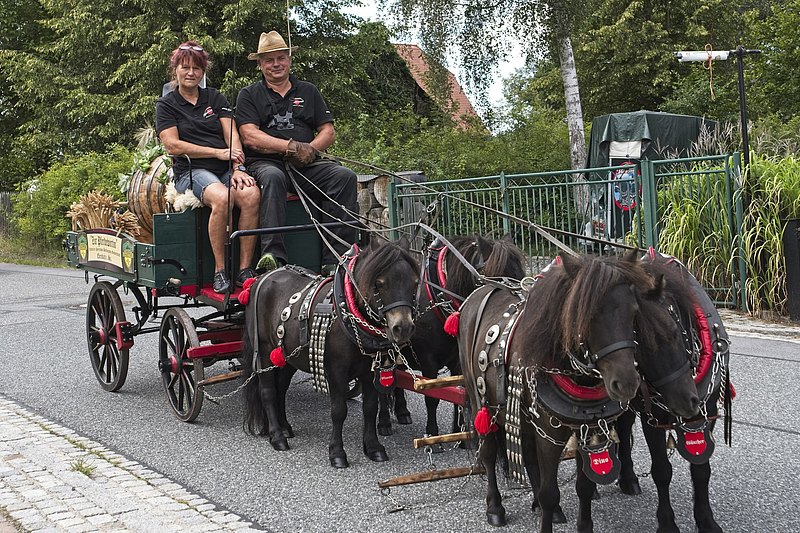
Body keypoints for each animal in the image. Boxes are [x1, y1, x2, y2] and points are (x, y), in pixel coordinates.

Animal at [241, 236, 420, 468]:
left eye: (414, 282)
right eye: (379, 283)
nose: (403, 327)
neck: (349, 312)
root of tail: (260, 278)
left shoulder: (370, 371)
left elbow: (370, 408)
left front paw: (373, 448)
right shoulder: (336, 370)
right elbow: (338, 411)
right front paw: (337, 453)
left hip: (288, 356)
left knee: (281, 388)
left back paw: (285, 427)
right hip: (263, 351)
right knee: (268, 392)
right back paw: (277, 436)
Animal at [377, 234, 526, 438]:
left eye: (521, 275)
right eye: (496, 277)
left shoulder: (458, 361)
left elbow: (460, 395)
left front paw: (459, 433)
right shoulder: (428, 361)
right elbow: (433, 398)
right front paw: (432, 433)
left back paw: (402, 412)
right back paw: (384, 422)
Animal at [457, 252, 702, 532]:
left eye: (633, 313)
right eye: (586, 315)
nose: (626, 383)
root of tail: (482, 289)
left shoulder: (585, 427)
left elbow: (583, 486)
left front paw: (582, 522)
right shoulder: (549, 434)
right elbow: (550, 493)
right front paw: (545, 509)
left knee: (528, 454)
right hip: (480, 400)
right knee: (488, 452)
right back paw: (495, 507)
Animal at [615, 251, 732, 533]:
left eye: (674, 331)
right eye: (636, 345)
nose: (684, 401)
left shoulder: (706, 410)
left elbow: (701, 469)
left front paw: (706, 520)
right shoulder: (653, 417)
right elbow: (661, 469)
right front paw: (667, 523)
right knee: (622, 431)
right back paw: (627, 478)